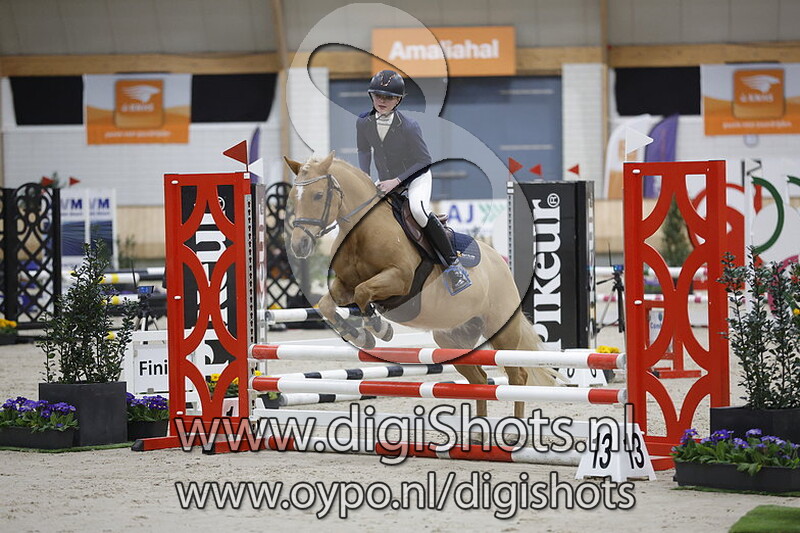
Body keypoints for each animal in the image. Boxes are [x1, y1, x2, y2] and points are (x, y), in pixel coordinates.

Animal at [283, 152, 559, 418]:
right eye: (293, 198)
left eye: (318, 195)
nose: (299, 245)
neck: (361, 231)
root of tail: (501, 265)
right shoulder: (344, 285)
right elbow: (328, 305)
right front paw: (359, 335)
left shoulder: (399, 279)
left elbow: (363, 294)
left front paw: (379, 328)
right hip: (451, 338)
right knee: (480, 379)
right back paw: (480, 429)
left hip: (502, 331)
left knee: (517, 377)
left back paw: (515, 428)